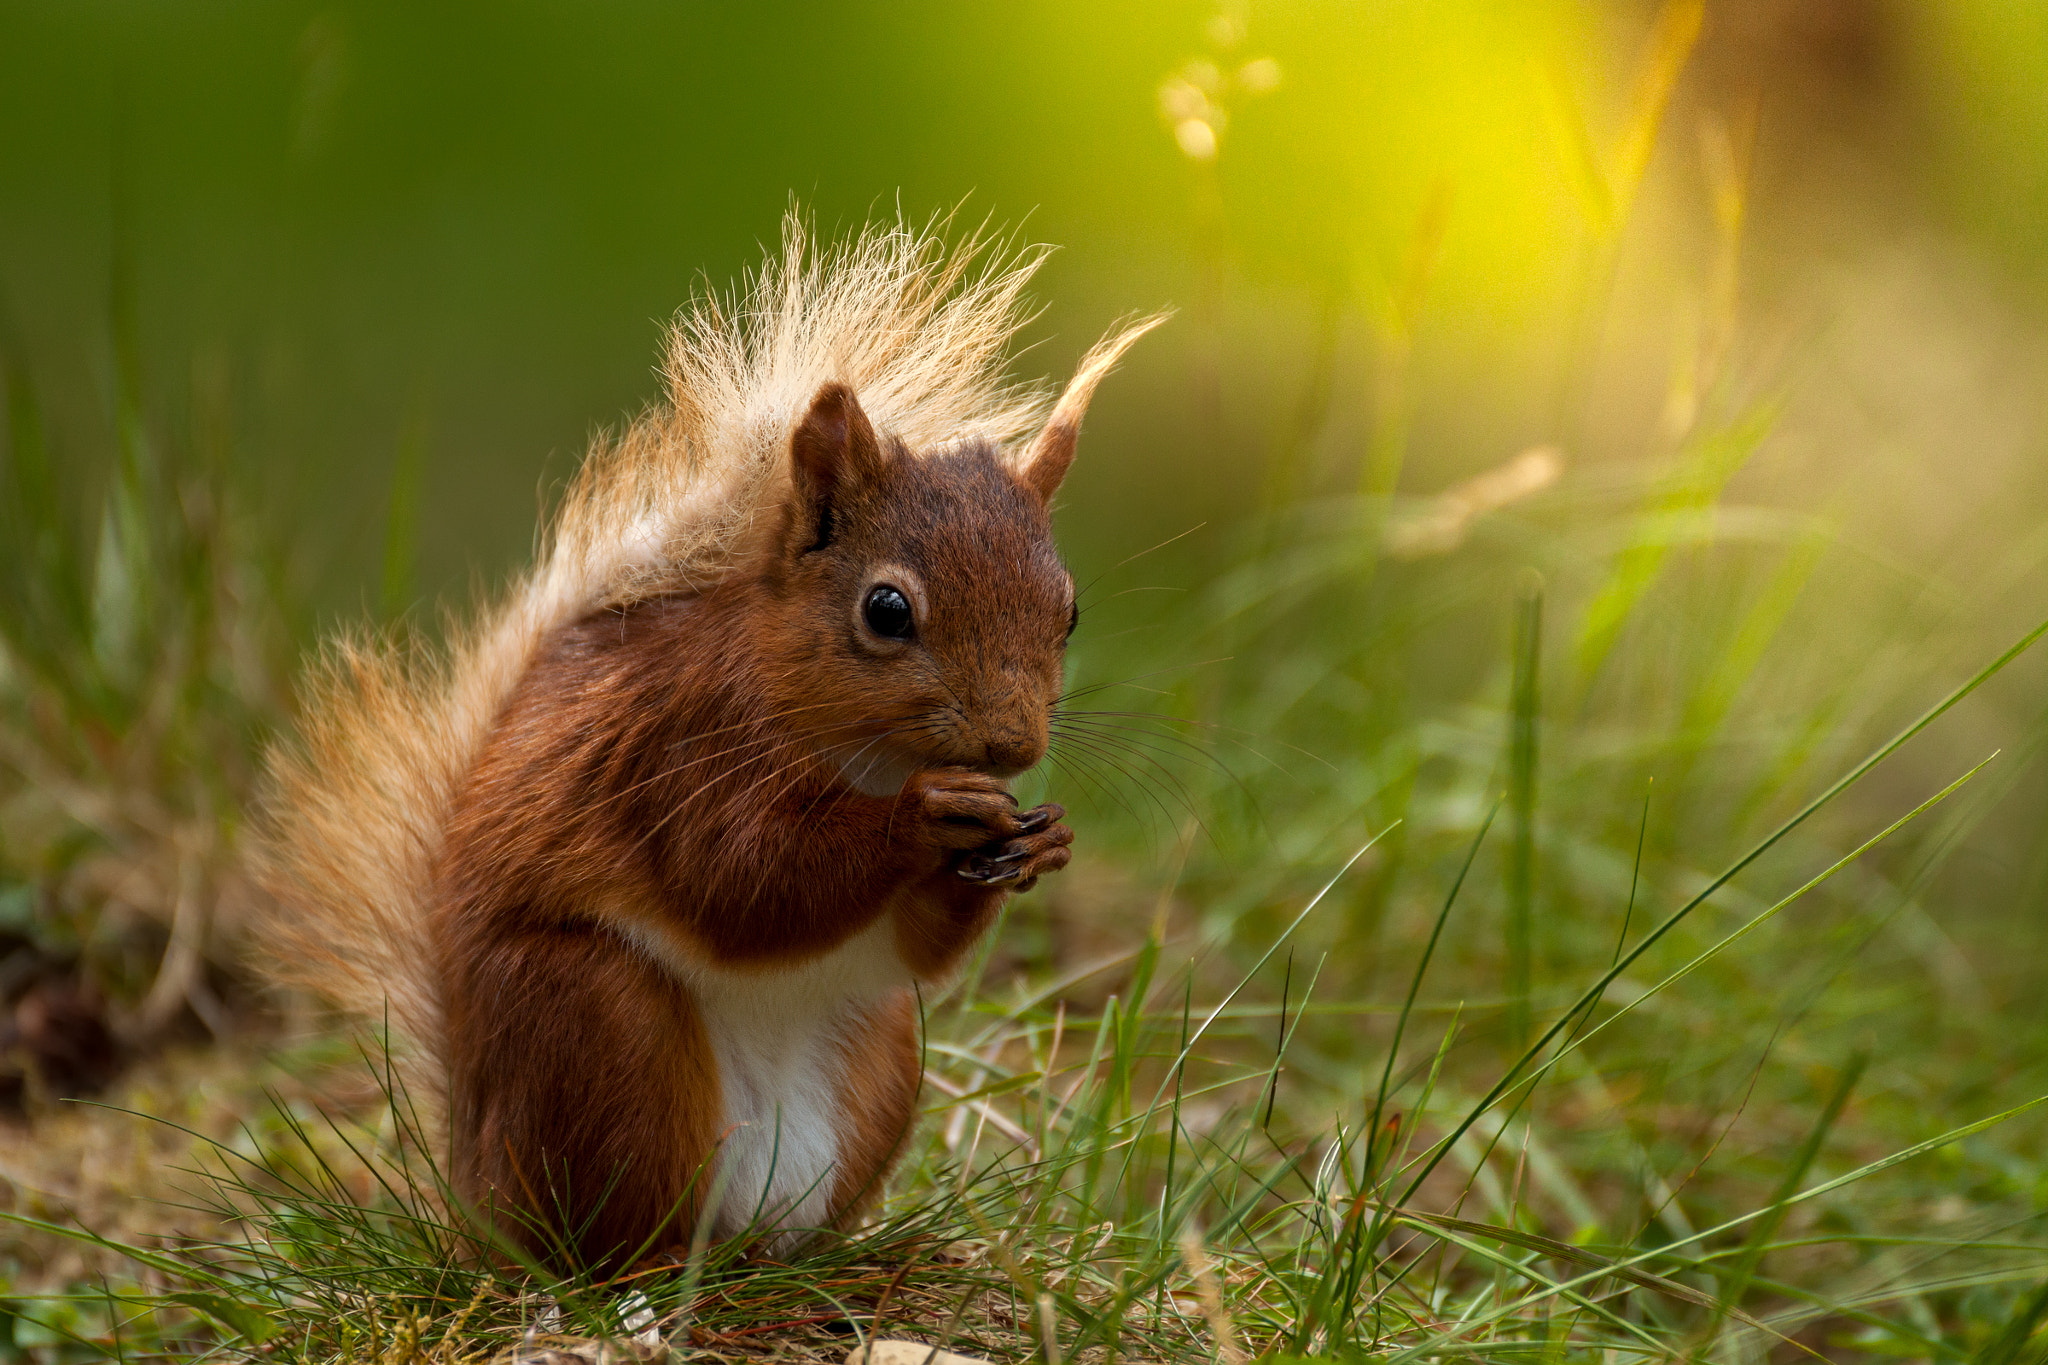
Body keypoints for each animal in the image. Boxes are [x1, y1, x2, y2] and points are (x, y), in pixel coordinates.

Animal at [253, 216, 1161, 1268]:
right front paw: (921, 817)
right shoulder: (676, 747)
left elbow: (914, 941)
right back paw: (646, 1267)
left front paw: (1039, 841)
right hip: (603, 1026)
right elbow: (743, 880)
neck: (862, 754)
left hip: (881, 1050)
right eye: (886, 610)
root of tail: (479, 1194)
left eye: (1069, 611)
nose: (1012, 744)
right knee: (608, 1230)